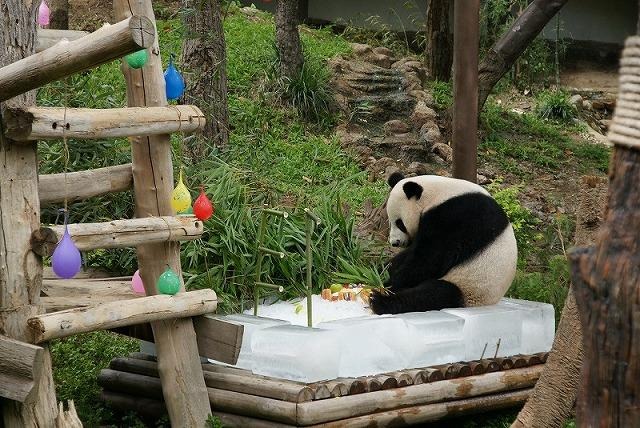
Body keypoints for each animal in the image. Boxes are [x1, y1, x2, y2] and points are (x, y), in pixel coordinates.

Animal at [370, 172, 520, 316]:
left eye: (400, 224)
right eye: (390, 222)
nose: (395, 243)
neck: (437, 195)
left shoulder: (458, 216)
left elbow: (431, 258)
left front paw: (389, 283)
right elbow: (408, 255)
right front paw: (378, 272)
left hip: (471, 287)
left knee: (434, 295)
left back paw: (379, 301)